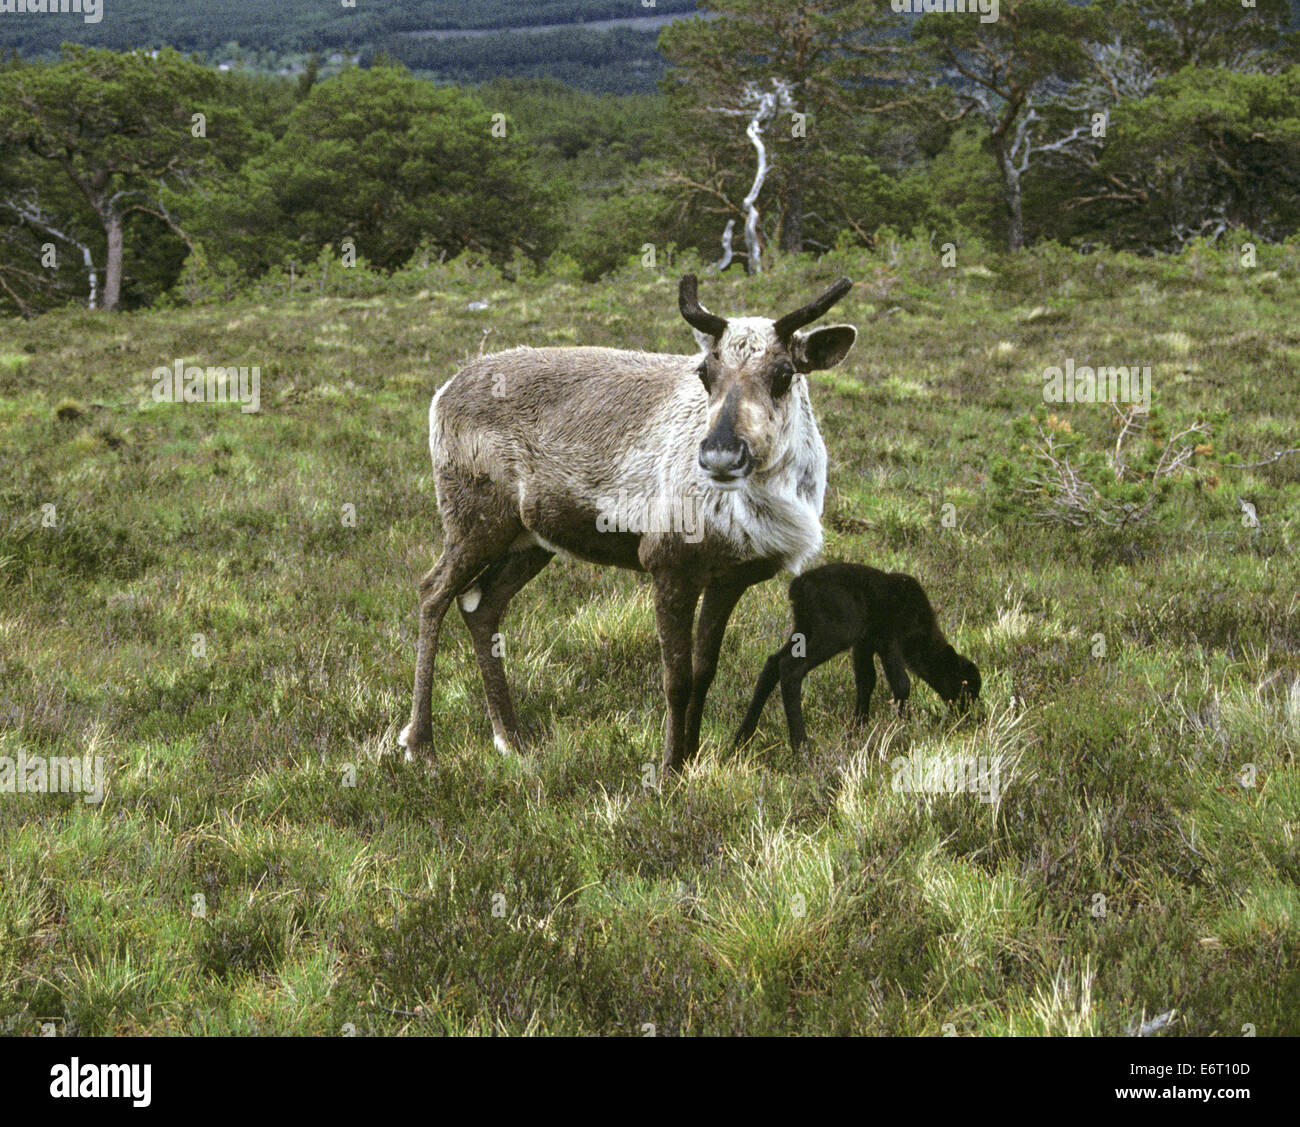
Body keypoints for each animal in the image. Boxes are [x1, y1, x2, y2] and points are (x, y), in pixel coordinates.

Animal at [738, 561, 977, 753]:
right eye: (964, 685)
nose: (970, 717)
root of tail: (798, 587)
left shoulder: (864, 643)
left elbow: (866, 681)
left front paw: (856, 732)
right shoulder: (887, 639)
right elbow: (901, 684)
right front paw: (906, 729)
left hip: (804, 628)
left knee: (773, 662)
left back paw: (741, 740)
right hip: (835, 632)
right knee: (791, 668)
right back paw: (802, 748)